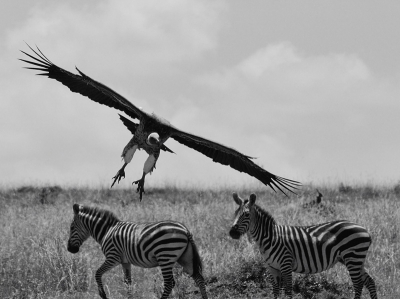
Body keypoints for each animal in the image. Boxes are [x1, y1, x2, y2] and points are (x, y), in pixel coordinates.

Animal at [67, 205, 208, 299]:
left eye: (72, 228)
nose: (69, 249)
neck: (107, 231)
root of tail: (185, 230)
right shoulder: (125, 261)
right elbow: (128, 282)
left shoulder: (113, 257)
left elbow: (97, 273)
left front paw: (103, 294)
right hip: (185, 257)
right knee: (199, 278)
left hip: (165, 256)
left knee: (169, 283)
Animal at [230, 193, 376, 298]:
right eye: (235, 214)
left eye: (246, 215)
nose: (232, 233)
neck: (270, 237)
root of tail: (364, 230)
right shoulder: (272, 267)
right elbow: (275, 291)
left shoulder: (286, 264)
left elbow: (288, 291)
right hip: (354, 260)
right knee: (369, 281)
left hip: (353, 257)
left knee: (358, 284)